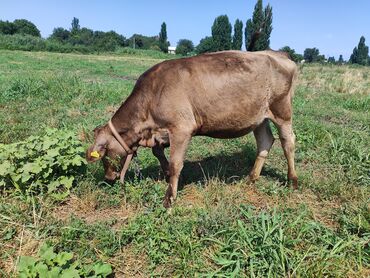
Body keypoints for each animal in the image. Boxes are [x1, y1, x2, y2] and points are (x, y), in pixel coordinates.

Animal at [86, 49, 298, 206]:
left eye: (104, 153)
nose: (108, 178)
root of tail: (278, 53)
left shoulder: (181, 128)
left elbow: (175, 164)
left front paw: (169, 198)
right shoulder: (161, 132)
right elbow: (158, 153)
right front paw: (166, 176)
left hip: (282, 110)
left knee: (288, 142)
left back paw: (292, 181)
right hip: (259, 117)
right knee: (265, 141)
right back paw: (251, 178)